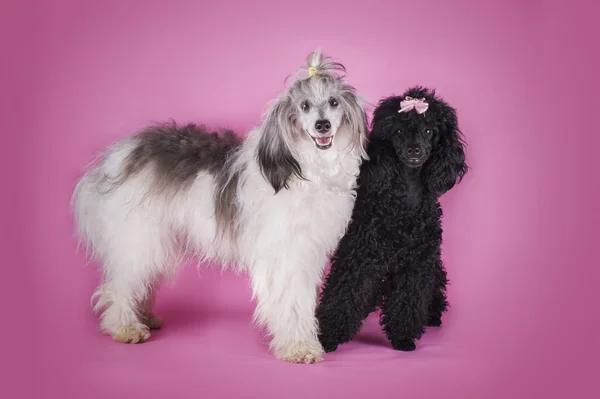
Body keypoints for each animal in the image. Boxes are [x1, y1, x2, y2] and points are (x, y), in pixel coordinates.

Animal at [72, 49, 368, 362]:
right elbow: (292, 301)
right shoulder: (285, 253)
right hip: (139, 237)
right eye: (305, 106)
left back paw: (146, 316)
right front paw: (299, 346)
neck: (306, 166)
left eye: (334, 102)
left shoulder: (307, 250)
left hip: (157, 238)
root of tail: (120, 154)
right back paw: (125, 326)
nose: (322, 125)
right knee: (119, 284)